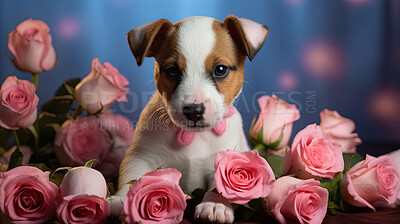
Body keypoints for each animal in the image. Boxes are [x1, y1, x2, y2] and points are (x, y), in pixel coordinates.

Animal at [110, 14, 268, 223]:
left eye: (220, 69)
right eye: (172, 70)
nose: (194, 111)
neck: (193, 136)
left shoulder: (226, 158)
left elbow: (221, 185)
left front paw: (215, 204)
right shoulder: (142, 157)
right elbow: (132, 176)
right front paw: (121, 199)